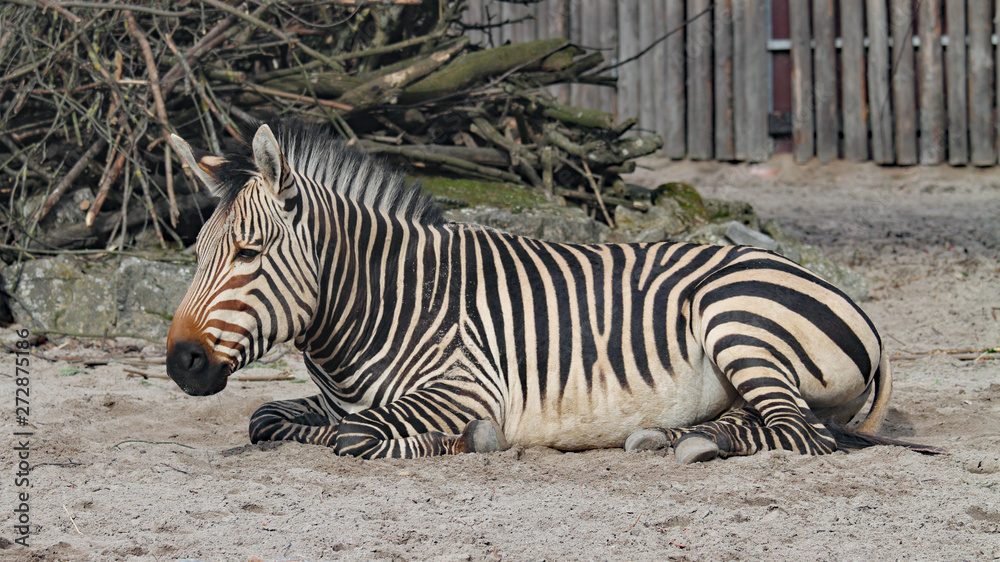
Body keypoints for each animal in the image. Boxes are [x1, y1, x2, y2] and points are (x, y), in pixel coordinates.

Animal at [165, 118, 930, 463]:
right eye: (197, 254)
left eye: (249, 253)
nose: (180, 363)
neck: (383, 300)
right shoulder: (326, 399)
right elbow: (267, 417)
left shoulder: (464, 387)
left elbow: (358, 436)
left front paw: (462, 442)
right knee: (772, 421)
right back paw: (672, 434)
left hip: (735, 318)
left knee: (799, 433)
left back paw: (695, 442)